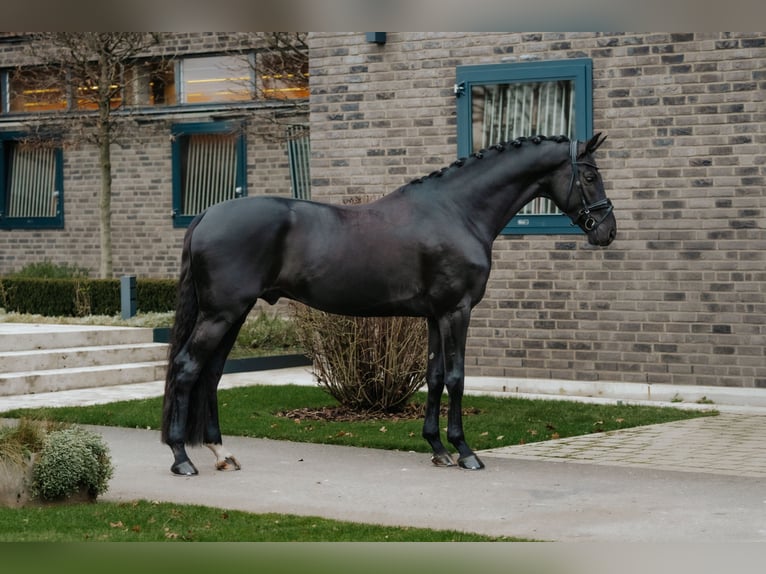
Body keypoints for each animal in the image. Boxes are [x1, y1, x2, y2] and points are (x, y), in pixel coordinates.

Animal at [162, 134, 616, 476]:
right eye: (590, 174)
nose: (607, 230)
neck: (457, 211)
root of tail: (205, 216)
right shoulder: (457, 311)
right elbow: (456, 377)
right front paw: (465, 451)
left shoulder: (435, 315)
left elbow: (434, 376)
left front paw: (438, 449)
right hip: (221, 314)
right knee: (187, 368)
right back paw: (182, 458)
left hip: (233, 314)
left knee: (210, 374)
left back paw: (221, 453)